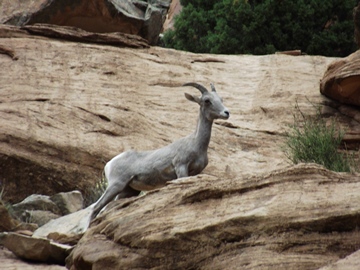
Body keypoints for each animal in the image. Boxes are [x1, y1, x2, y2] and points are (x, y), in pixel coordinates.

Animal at [90, 82, 231, 219]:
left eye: (221, 99)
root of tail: (109, 163)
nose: (226, 112)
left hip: (128, 191)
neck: (196, 144)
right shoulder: (181, 167)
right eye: (207, 100)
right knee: (96, 208)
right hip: (116, 185)